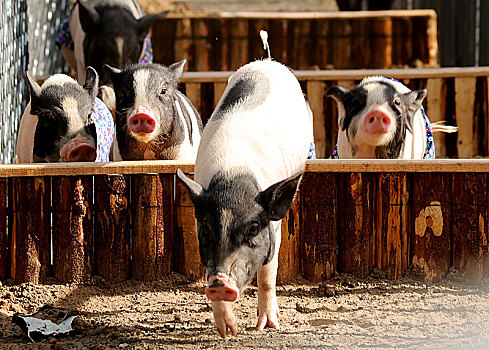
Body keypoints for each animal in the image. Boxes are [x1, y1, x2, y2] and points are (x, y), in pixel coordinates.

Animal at [175, 56, 312, 338]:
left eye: (253, 229)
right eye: (206, 230)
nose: (220, 283)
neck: (234, 177)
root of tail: (267, 61)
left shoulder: (274, 226)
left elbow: (268, 274)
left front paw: (267, 326)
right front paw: (228, 331)